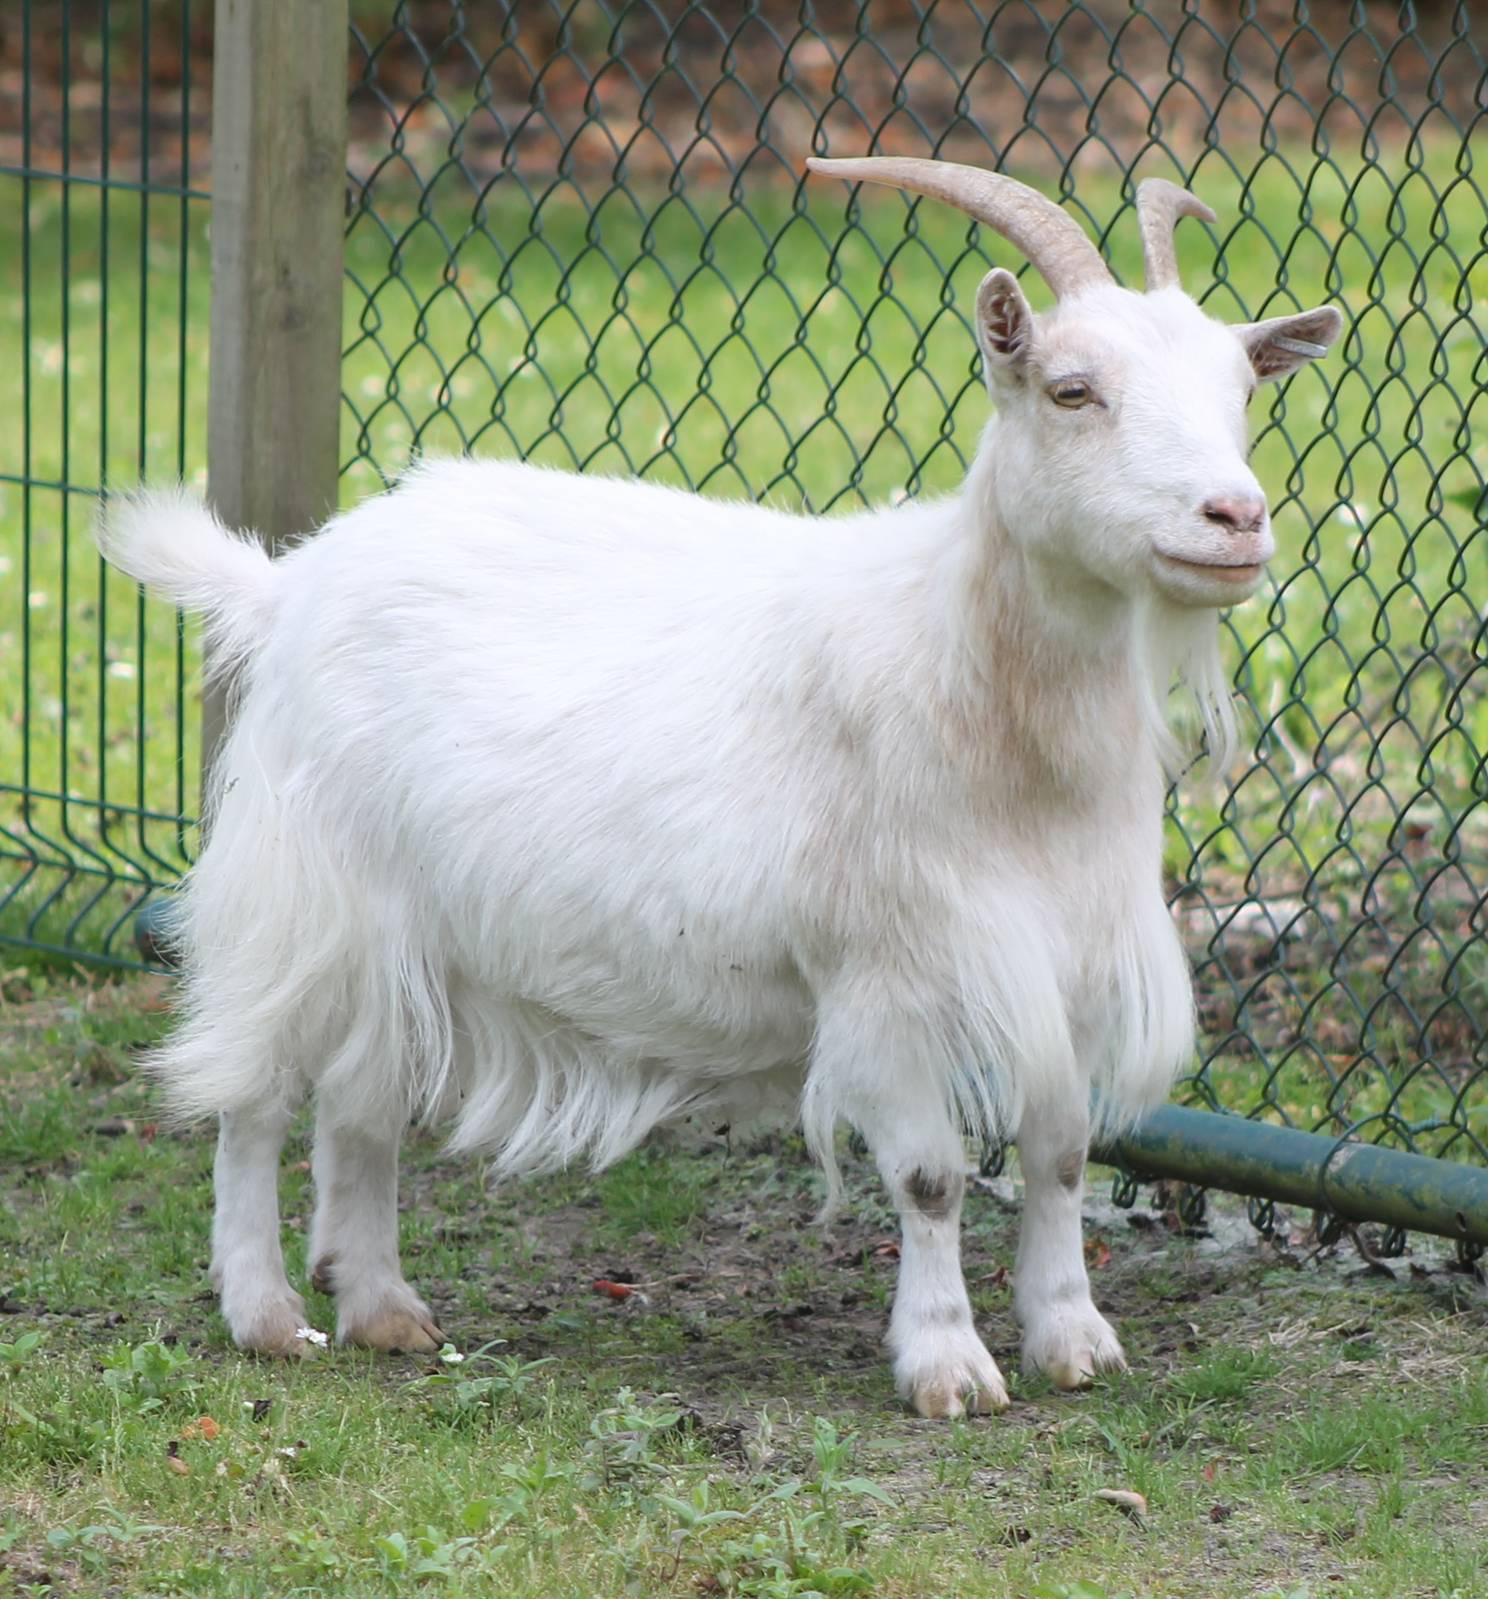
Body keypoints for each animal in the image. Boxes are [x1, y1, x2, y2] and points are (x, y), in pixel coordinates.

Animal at [99, 157, 1340, 1417]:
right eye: (1072, 389)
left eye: (1242, 391)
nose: (1237, 519)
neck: (978, 692)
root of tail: (286, 584)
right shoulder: (885, 977)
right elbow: (931, 1177)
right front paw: (947, 1364)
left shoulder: (1065, 971)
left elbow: (1063, 1155)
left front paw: (1074, 1338)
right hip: (303, 896)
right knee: (253, 1099)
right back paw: (266, 1315)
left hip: (412, 930)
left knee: (361, 1104)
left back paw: (383, 1308)